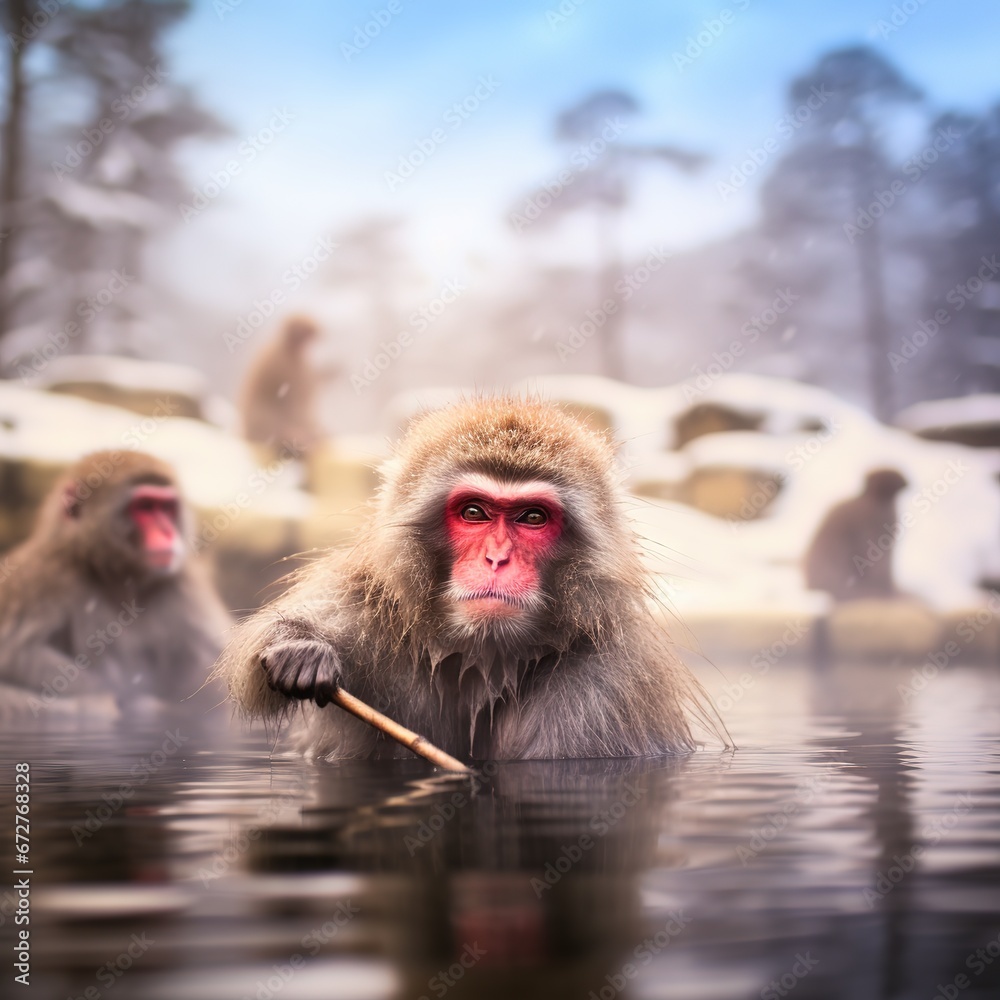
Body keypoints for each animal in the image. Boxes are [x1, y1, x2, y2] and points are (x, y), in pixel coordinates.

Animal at [0, 450, 231, 720]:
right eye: (144, 507)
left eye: (166, 507)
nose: (167, 531)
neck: (118, 575)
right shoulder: (46, 570)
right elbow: (13, 654)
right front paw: (120, 696)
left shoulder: (184, 584)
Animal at [215, 397, 720, 761]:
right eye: (474, 512)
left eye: (532, 517)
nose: (497, 559)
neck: (482, 659)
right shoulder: (364, 607)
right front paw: (299, 648)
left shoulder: (608, 687)